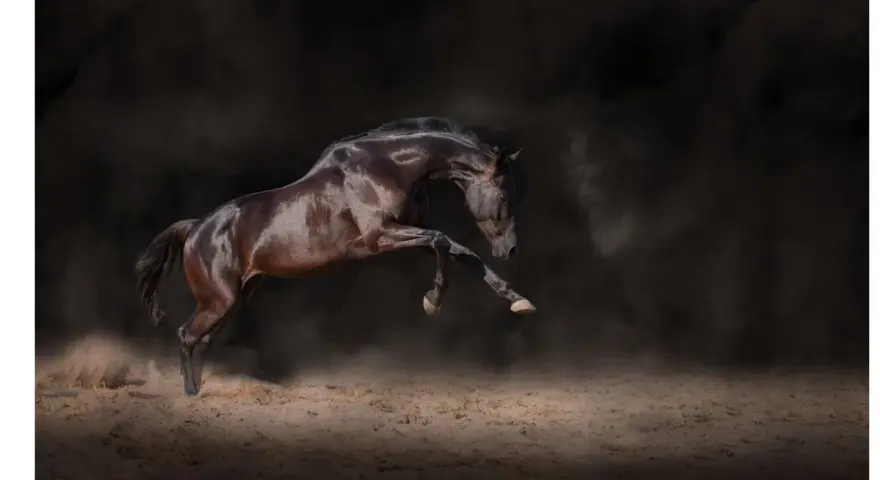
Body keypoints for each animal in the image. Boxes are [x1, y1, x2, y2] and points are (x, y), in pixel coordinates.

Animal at [134, 120, 535, 396]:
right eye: (503, 194)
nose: (511, 249)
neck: (389, 167)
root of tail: (196, 227)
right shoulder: (380, 236)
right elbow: (442, 242)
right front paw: (432, 301)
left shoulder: (403, 234)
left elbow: (461, 252)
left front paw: (518, 301)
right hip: (218, 300)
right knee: (187, 335)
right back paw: (189, 395)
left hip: (234, 299)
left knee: (200, 341)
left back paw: (199, 391)